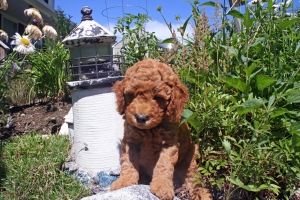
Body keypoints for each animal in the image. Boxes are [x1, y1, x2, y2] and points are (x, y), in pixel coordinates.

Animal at [111, 58, 212, 200]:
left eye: (158, 98)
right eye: (131, 95)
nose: (141, 118)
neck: (149, 130)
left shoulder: (169, 144)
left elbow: (163, 165)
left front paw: (162, 187)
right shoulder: (130, 141)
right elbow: (128, 163)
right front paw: (124, 181)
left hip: (190, 161)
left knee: (195, 183)